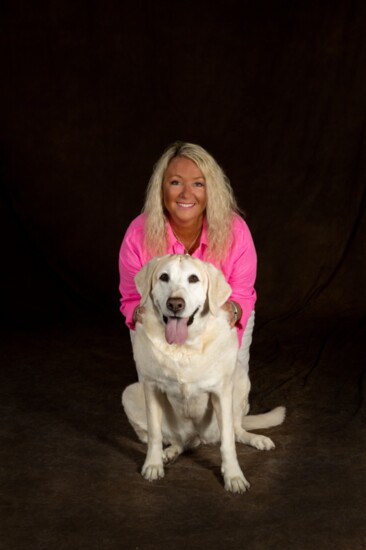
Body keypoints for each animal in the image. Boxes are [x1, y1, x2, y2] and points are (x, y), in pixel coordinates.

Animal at [123, 256, 286, 496]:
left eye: (193, 279)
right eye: (164, 277)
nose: (175, 304)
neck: (184, 347)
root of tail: (198, 437)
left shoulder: (221, 392)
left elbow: (228, 442)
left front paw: (233, 476)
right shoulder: (151, 387)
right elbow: (154, 434)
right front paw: (153, 464)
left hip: (240, 379)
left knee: (237, 430)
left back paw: (256, 439)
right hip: (131, 392)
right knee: (177, 441)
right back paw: (169, 452)